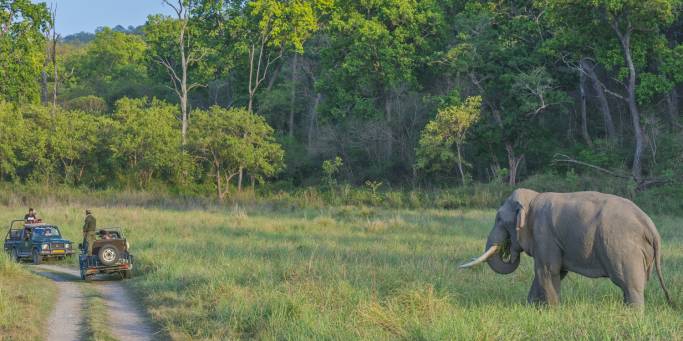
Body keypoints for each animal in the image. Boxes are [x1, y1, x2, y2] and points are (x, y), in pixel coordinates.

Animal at [460, 187, 672, 306]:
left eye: (499, 219)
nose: (508, 249)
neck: (533, 198)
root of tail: (650, 226)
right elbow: (551, 273)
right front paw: (530, 308)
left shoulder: (544, 233)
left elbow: (547, 270)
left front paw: (553, 311)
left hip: (622, 248)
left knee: (629, 284)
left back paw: (632, 315)